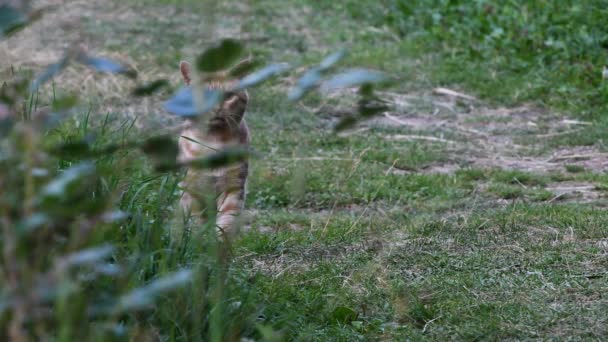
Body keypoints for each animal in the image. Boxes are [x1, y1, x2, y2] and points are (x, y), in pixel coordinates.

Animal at [175, 60, 251, 236]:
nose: (216, 108)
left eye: (228, 96)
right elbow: (196, 224)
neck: (213, 142)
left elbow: (226, 223)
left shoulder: (233, 189)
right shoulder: (192, 191)